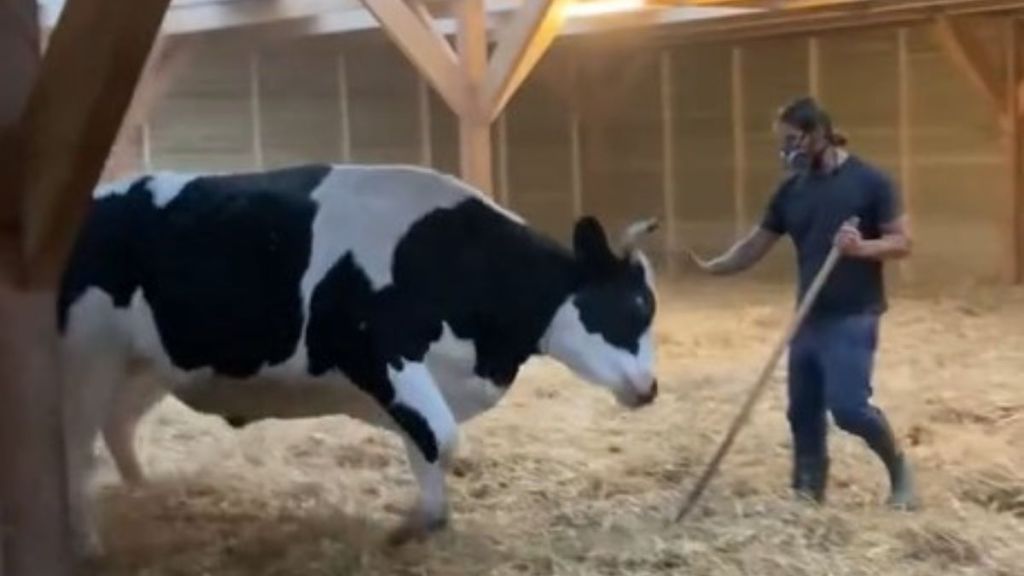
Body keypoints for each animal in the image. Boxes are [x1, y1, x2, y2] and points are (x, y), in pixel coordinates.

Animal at [59, 161, 659, 557]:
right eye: (631, 309)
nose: (650, 388)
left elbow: (430, 447)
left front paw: (430, 519)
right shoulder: (383, 357)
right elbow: (443, 438)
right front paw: (409, 526)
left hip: (144, 363)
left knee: (116, 425)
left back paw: (145, 490)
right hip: (88, 354)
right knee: (77, 447)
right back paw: (88, 543)